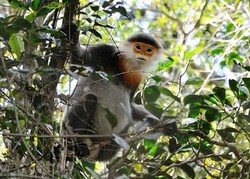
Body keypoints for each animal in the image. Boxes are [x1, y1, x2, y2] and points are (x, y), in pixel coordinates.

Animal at [59, 26, 166, 164]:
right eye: (138, 47)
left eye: (149, 50)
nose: (142, 54)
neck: (128, 65)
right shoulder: (106, 51)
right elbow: (77, 60)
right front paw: (71, 32)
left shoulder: (137, 77)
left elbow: (130, 105)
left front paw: (160, 122)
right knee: (90, 98)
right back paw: (75, 146)